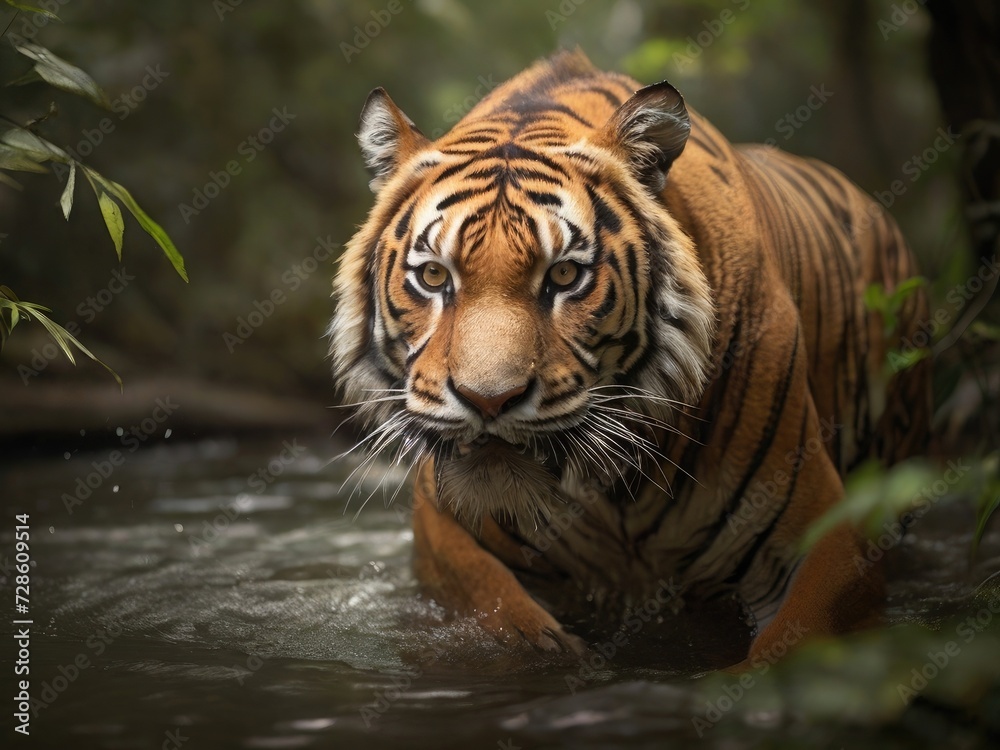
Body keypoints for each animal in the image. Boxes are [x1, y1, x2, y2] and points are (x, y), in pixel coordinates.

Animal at [329, 49, 931, 668]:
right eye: (433, 276)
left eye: (564, 275)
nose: (487, 400)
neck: (613, 496)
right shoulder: (442, 532)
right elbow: (503, 614)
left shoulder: (830, 534)